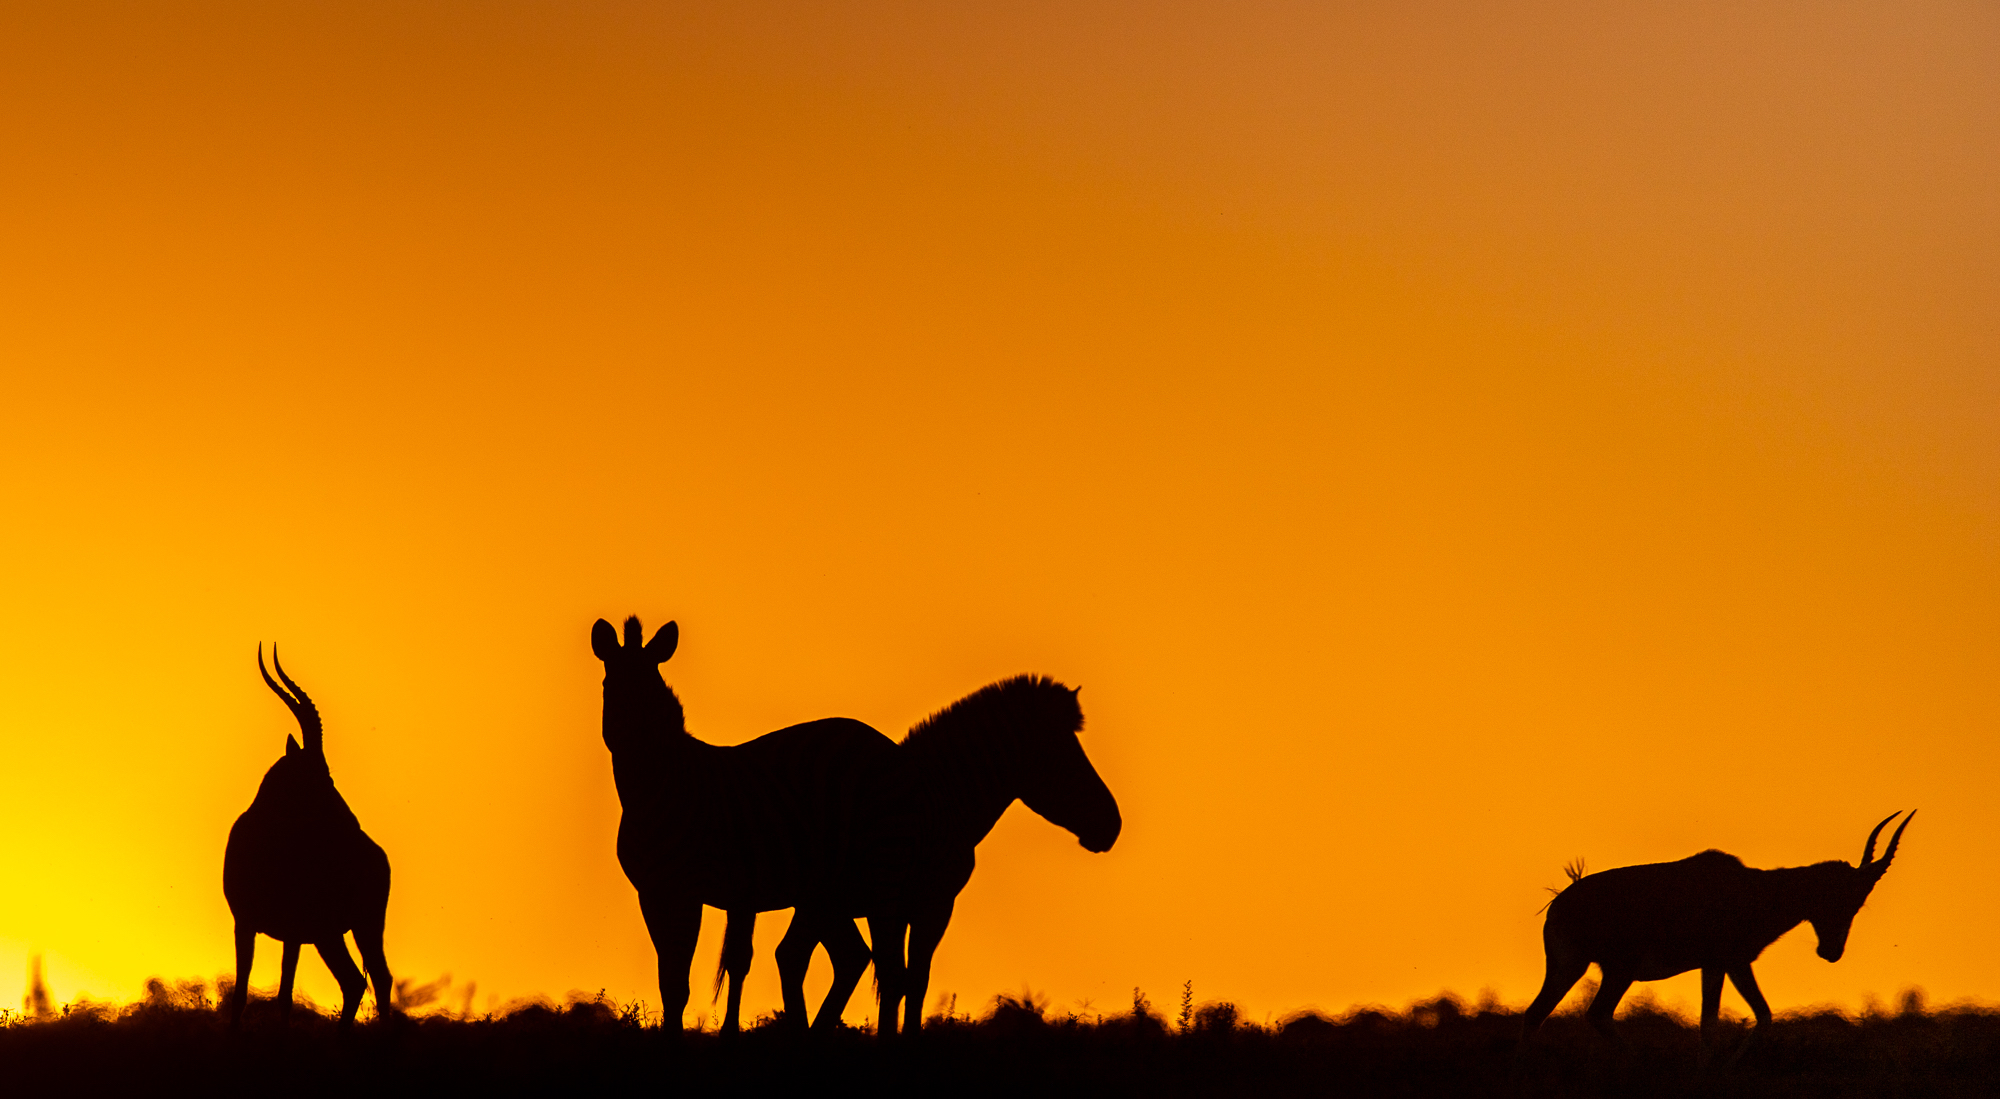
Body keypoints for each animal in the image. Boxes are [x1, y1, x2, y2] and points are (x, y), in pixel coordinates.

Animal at [223, 647, 394, 1031]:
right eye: (320, 773)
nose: (351, 821)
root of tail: (377, 855)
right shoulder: (250, 924)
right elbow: (245, 993)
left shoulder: (291, 931)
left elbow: (283, 996)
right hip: (333, 933)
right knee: (361, 979)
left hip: (355, 927)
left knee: (372, 977)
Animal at [588, 615, 896, 1039]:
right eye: (609, 685)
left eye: (650, 689)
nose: (630, 741)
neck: (656, 792)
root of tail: (884, 743)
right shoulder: (651, 892)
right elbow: (669, 979)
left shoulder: (688, 891)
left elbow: (680, 980)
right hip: (830, 894)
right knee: (853, 956)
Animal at [1520, 815, 1912, 1063]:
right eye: (1848, 897)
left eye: (1859, 901)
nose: (1831, 951)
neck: (1753, 887)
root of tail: (1561, 901)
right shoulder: (1719, 963)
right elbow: (1711, 1023)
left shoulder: (1732, 964)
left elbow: (1761, 1015)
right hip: (1618, 970)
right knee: (1596, 1013)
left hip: (1571, 967)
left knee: (1535, 1014)